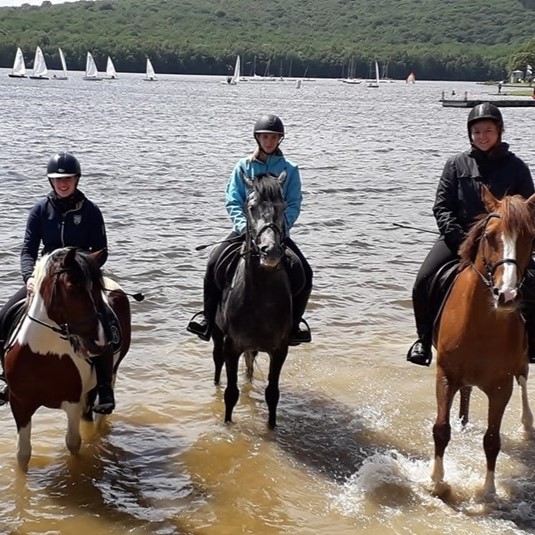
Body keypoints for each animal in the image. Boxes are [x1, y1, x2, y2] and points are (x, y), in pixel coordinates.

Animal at [3, 248, 131, 474]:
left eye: (97, 289)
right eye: (72, 288)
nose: (99, 342)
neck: (43, 354)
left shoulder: (72, 402)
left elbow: (73, 442)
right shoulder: (20, 404)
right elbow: (23, 454)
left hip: (111, 374)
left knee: (98, 419)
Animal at [211, 172, 294, 432]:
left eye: (283, 206)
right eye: (251, 207)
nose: (271, 251)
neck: (261, 298)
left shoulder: (280, 350)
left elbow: (272, 393)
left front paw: (271, 428)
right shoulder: (231, 346)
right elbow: (230, 393)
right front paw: (227, 427)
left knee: (249, 368)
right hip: (217, 336)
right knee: (217, 364)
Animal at [434, 186, 535, 496]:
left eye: (530, 237)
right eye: (489, 236)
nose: (507, 296)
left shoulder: (501, 387)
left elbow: (492, 440)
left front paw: (489, 490)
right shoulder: (446, 375)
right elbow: (441, 429)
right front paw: (437, 481)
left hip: (520, 364)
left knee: (523, 379)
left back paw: (528, 424)